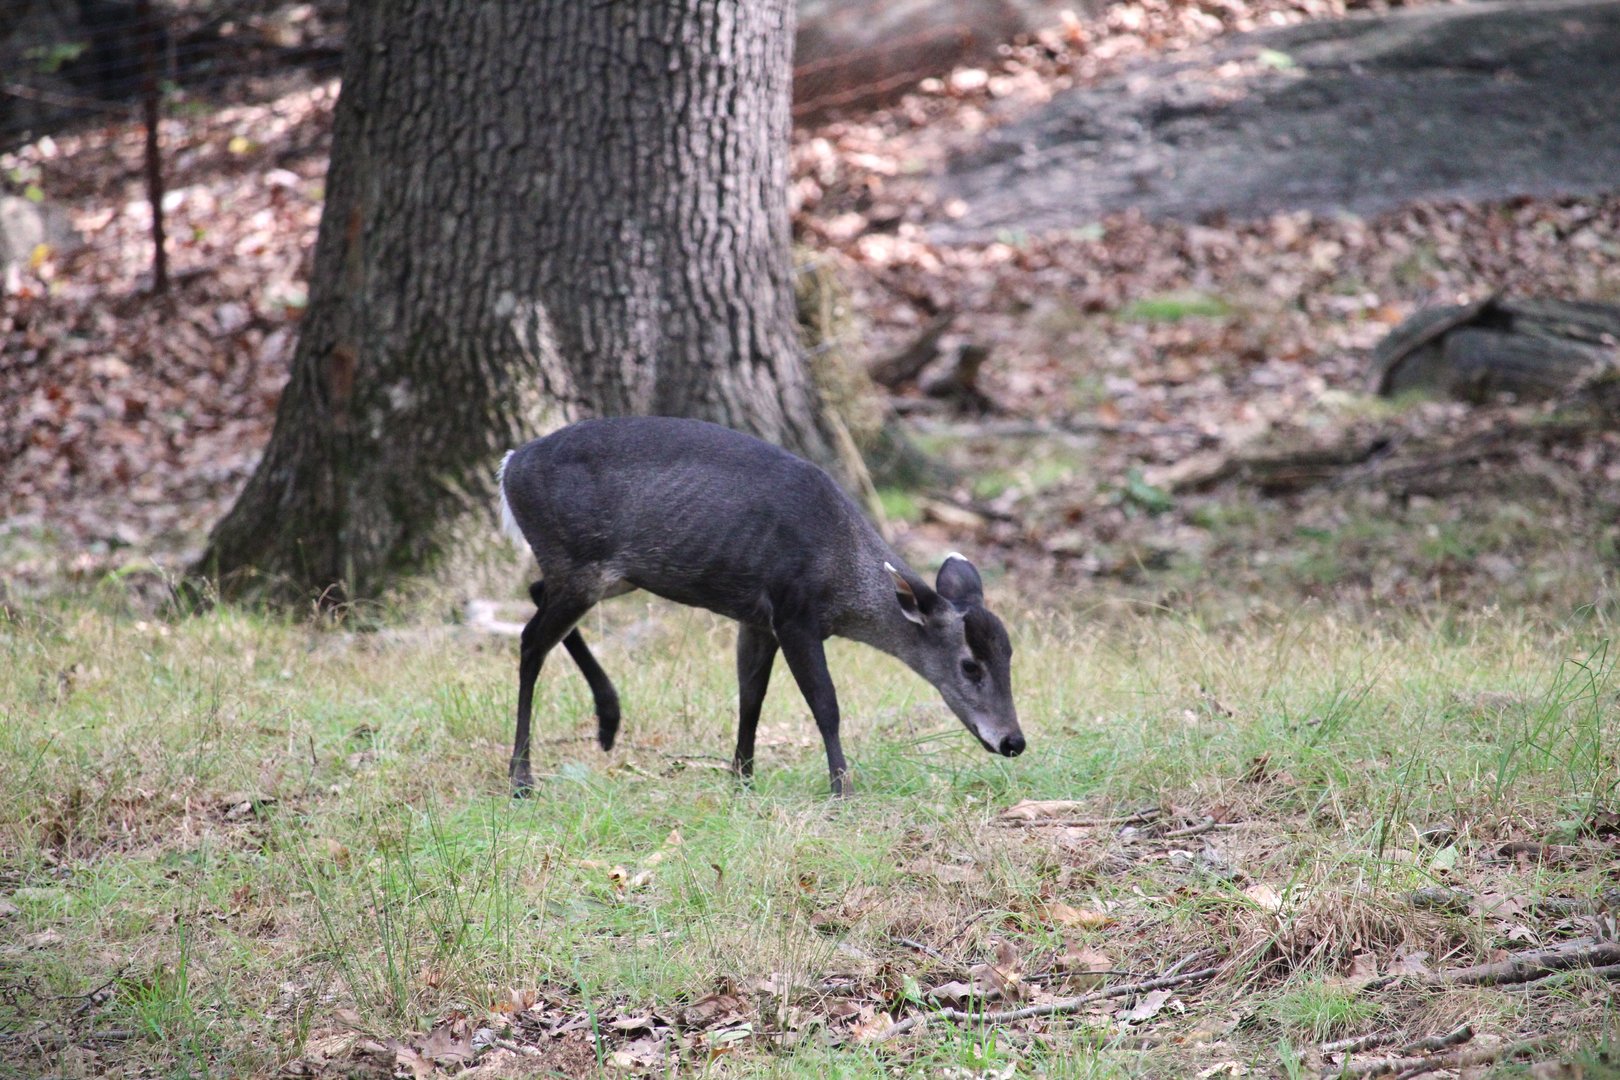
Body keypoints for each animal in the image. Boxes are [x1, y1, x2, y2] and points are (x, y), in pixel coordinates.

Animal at [496, 416, 1022, 796]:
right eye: (970, 666)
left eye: (1010, 657)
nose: (1013, 741)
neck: (839, 565)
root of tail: (509, 465)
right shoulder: (793, 613)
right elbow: (825, 704)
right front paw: (842, 789)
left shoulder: (757, 619)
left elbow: (751, 696)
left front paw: (742, 778)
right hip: (579, 562)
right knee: (530, 641)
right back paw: (522, 778)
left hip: (609, 575)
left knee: (537, 594)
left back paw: (608, 720)